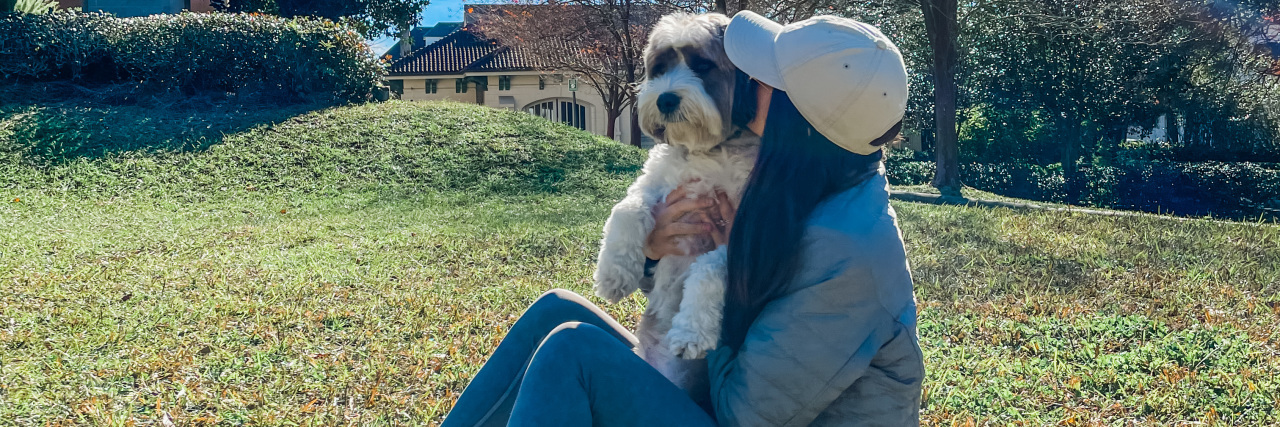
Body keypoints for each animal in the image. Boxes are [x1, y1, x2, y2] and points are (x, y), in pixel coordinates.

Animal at [591, 12, 757, 396]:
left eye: (703, 65)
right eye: (661, 68)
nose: (665, 99)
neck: (706, 151)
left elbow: (711, 266)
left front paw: (693, 329)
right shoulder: (654, 182)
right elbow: (627, 210)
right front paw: (613, 274)